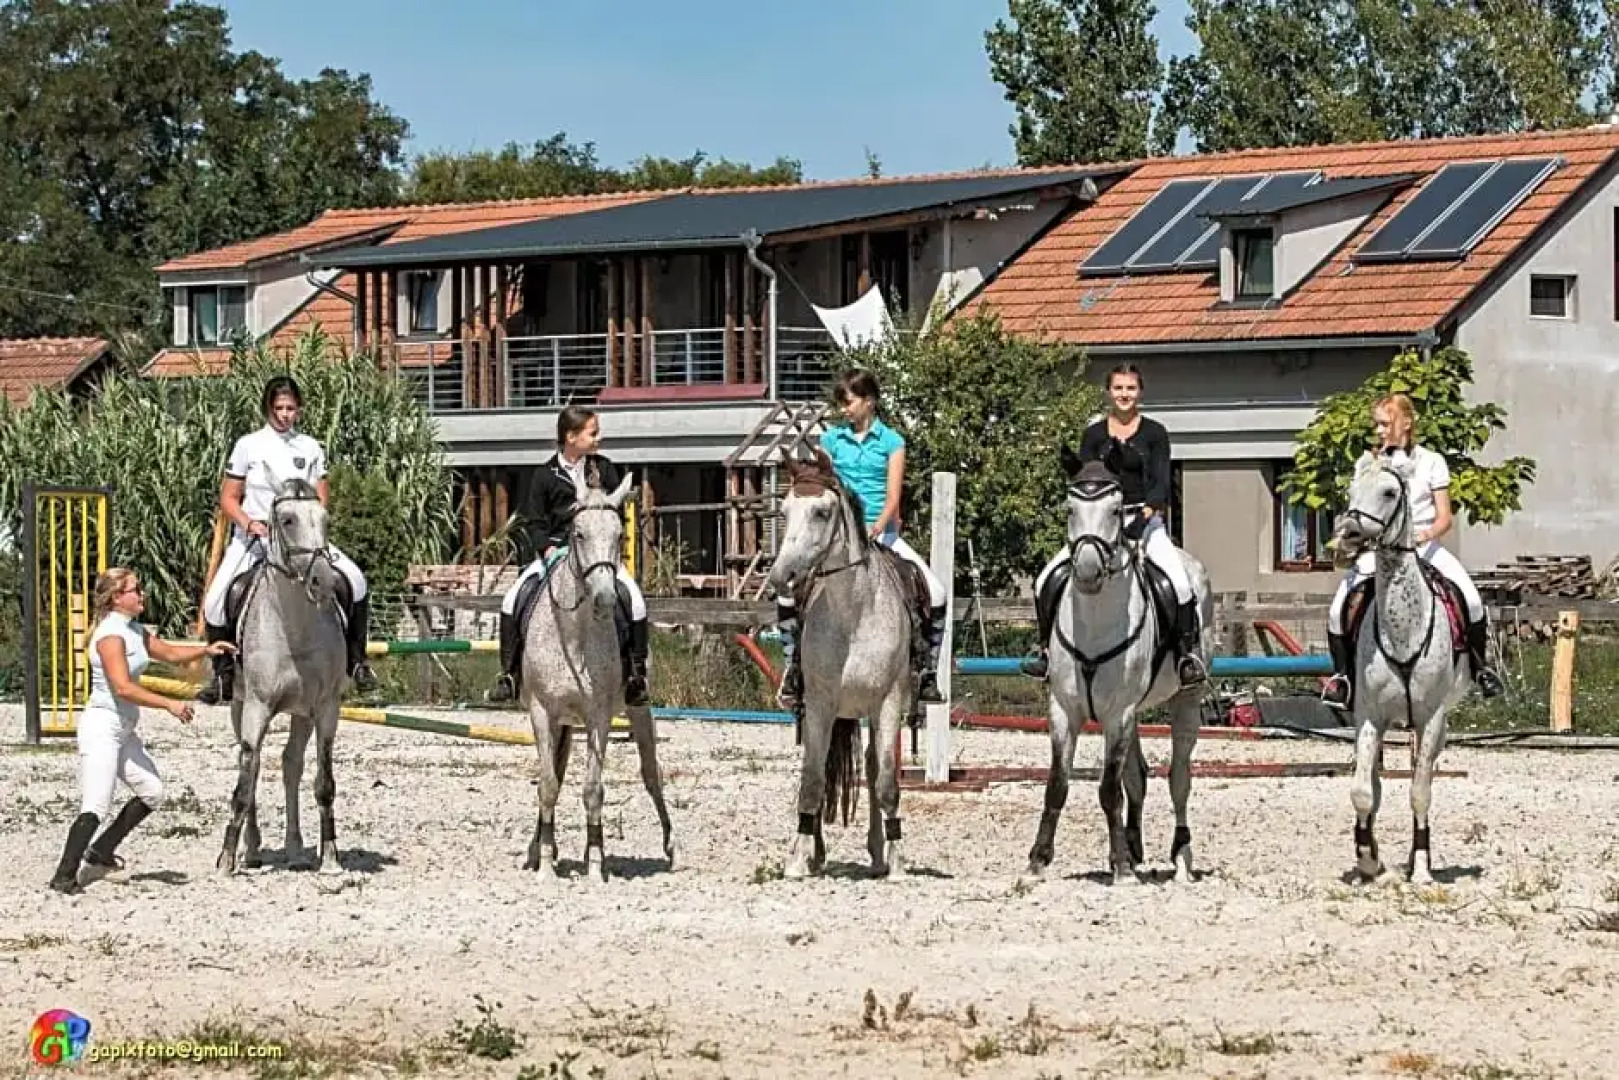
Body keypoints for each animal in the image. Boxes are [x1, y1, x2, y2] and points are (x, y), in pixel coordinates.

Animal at [216, 476, 349, 876]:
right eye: (287, 520)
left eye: (324, 518)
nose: (324, 581)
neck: (295, 627)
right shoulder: (256, 707)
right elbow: (245, 781)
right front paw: (226, 859)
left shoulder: (326, 708)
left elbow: (323, 782)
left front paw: (330, 857)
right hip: (239, 705)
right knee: (255, 763)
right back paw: (253, 850)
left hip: (301, 712)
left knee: (291, 764)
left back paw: (294, 848)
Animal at [518, 469, 674, 883]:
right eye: (579, 533)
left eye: (619, 535)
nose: (605, 597)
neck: (573, 637)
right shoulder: (541, 712)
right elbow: (548, 784)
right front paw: (545, 862)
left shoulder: (599, 715)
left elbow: (593, 790)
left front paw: (595, 862)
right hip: (561, 721)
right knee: (556, 772)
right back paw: (539, 849)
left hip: (638, 708)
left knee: (651, 772)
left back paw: (669, 843)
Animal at [765, 446, 920, 880]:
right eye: (784, 510)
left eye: (821, 512)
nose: (782, 577)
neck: (854, 612)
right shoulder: (820, 704)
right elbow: (813, 780)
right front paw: (797, 861)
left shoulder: (887, 703)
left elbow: (886, 783)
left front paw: (897, 862)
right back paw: (815, 852)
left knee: (871, 767)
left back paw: (878, 852)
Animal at [1024, 453, 1213, 886]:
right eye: (1070, 509)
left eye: (1114, 510)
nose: (1087, 572)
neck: (1094, 621)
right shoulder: (1065, 710)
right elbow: (1057, 784)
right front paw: (1037, 861)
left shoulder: (1118, 713)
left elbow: (1109, 789)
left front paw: (1122, 869)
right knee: (1138, 776)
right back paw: (1132, 845)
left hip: (1185, 700)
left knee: (1179, 779)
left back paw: (1180, 856)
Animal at [1330, 452, 1472, 885]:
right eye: (1350, 490)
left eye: (1390, 492)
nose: (1348, 535)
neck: (1403, 630)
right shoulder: (1368, 716)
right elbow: (1363, 791)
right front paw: (1367, 860)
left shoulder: (1431, 717)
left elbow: (1420, 791)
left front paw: (1422, 867)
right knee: (1373, 783)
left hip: (1434, 726)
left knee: (1420, 774)